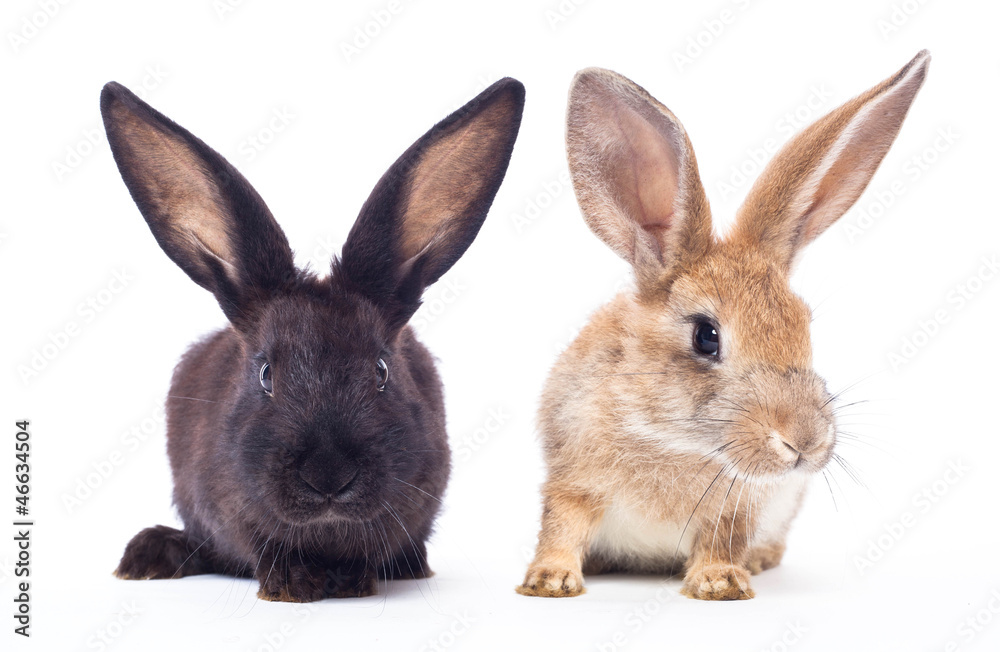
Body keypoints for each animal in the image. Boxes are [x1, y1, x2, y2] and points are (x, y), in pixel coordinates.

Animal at [101, 77, 524, 602]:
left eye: (381, 370)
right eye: (266, 373)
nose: (328, 475)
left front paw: (352, 581)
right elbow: (268, 550)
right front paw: (294, 586)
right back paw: (148, 555)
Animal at [517, 51, 929, 600]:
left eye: (805, 325)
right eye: (705, 336)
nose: (804, 441)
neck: (670, 436)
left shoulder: (738, 504)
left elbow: (722, 537)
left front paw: (720, 583)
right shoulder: (573, 480)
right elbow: (562, 524)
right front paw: (549, 580)